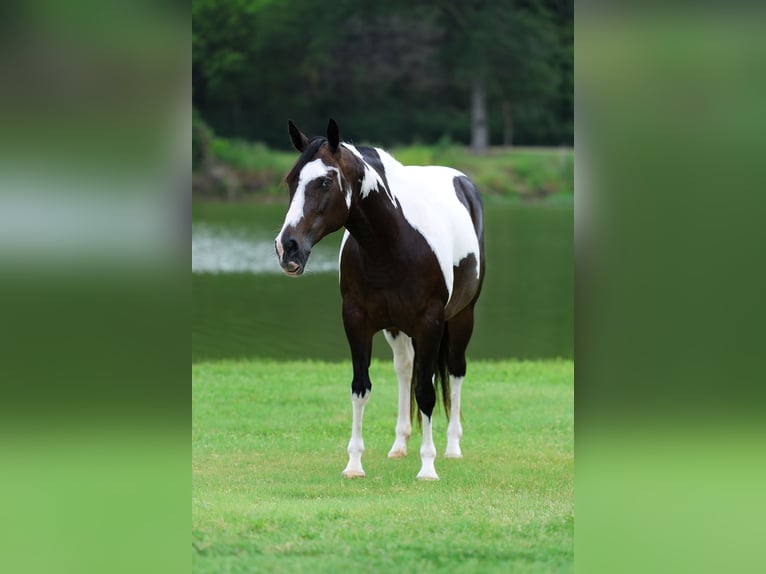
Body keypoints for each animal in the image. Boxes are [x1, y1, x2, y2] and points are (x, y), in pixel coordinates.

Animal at [274, 119, 485, 480]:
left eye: (325, 181)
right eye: (291, 180)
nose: (287, 247)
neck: (394, 243)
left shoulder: (430, 323)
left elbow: (426, 392)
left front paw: (427, 467)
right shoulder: (357, 322)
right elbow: (361, 387)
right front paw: (354, 464)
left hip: (462, 317)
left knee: (455, 371)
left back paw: (452, 447)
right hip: (397, 329)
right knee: (405, 369)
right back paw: (399, 445)